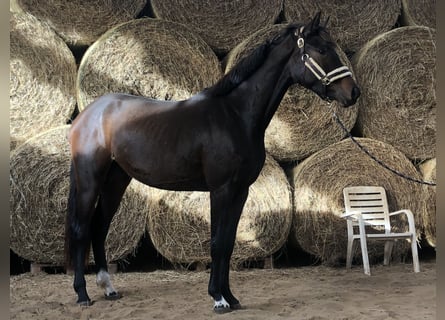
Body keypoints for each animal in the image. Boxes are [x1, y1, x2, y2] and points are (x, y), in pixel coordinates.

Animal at [65, 12, 358, 312]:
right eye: (321, 50)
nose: (353, 93)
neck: (235, 115)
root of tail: (87, 114)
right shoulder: (221, 189)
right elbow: (217, 242)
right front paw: (218, 298)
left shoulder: (240, 192)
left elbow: (228, 244)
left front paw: (230, 297)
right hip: (90, 180)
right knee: (81, 228)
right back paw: (82, 294)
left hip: (116, 180)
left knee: (100, 226)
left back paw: (108, 288)